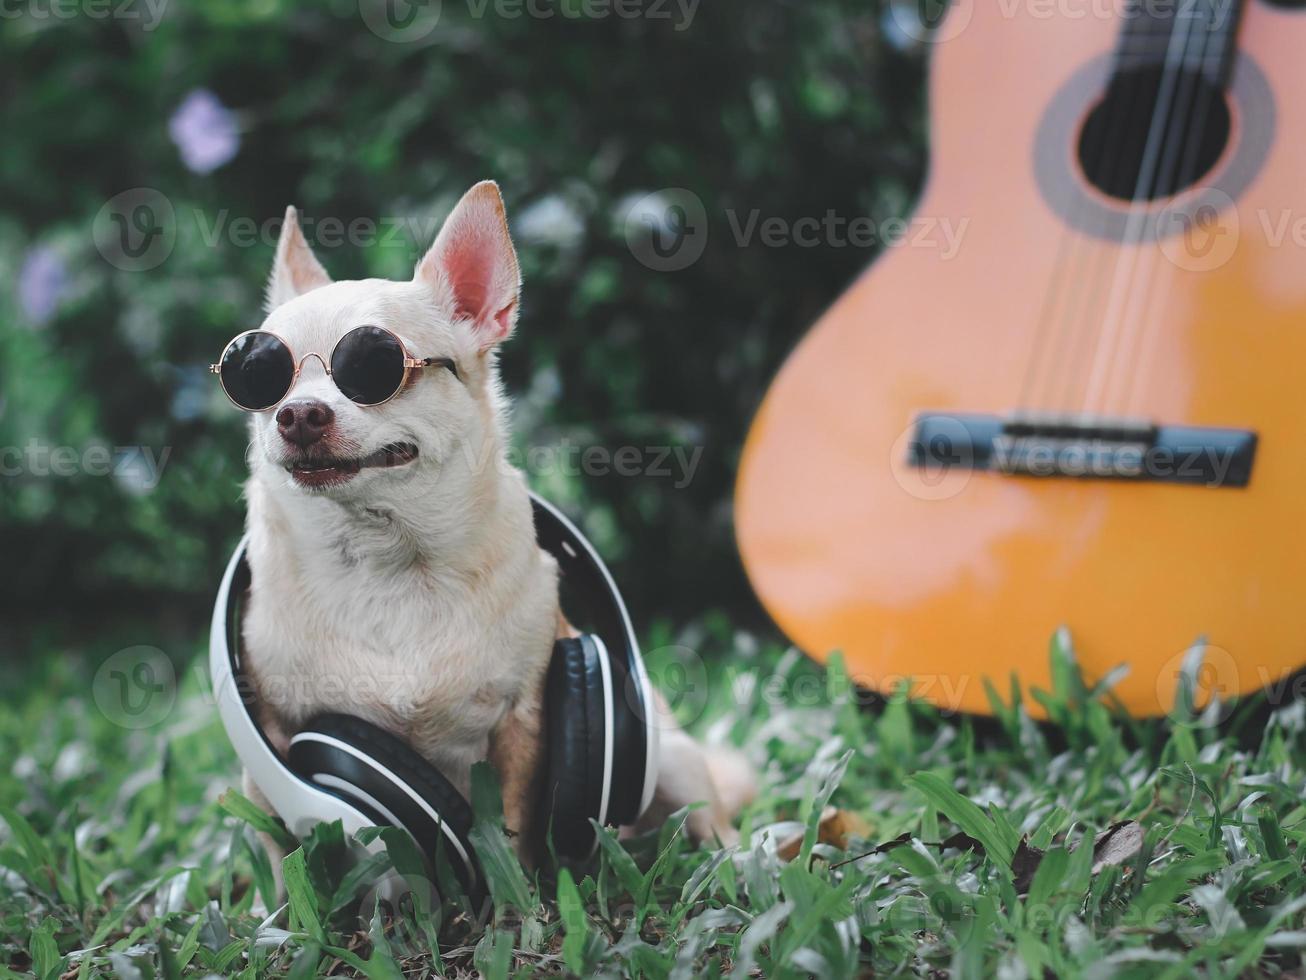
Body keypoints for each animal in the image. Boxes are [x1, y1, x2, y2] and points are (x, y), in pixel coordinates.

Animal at [237, 179, 757, 888]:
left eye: (373, 365)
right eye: (262, 374)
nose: (297, 414)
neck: (384, 559)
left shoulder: (525, 721)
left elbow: (512, 831)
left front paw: (517, 904)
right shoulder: (270, 733)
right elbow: (280, 843)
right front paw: (286, 907)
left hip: (668, 755)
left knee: (706, 819)